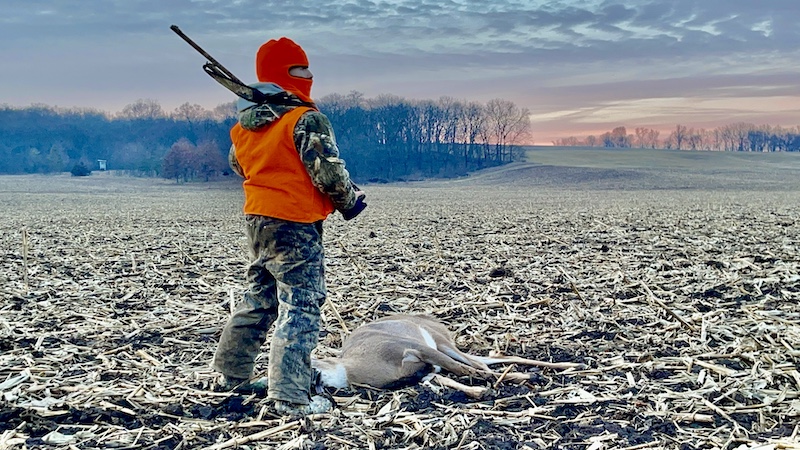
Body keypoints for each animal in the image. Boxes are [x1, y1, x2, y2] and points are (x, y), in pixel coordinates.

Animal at [311, 314, 584, 398]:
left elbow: (462, 370)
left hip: (442, 344)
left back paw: (567, 365)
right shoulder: (425, 370)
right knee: (487, 361)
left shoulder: (416, 348)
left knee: (477, 362)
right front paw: (479, 391)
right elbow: (447, 376)